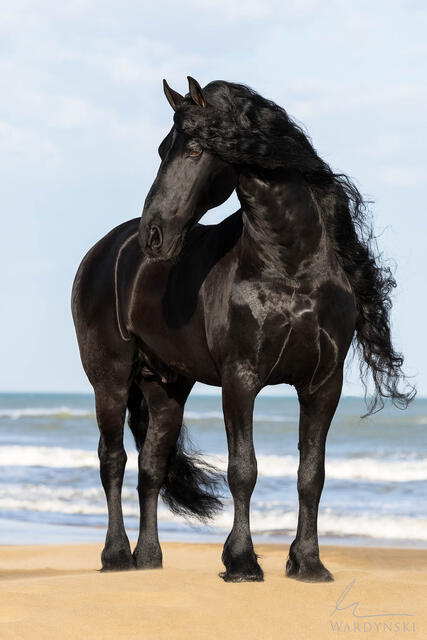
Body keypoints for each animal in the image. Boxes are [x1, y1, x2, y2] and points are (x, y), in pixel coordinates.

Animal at [71, 77, 414, 582]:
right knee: (113, 459)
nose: (155, 235)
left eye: (195, 148)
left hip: (166, 387)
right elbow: (243, 470)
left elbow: (311, 474)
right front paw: (241, 561)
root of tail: (104, 251)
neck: (290, 267)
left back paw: (148, 558)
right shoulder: (240, 379)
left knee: (151, 466)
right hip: (109, 379)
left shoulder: (323, 385)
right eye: (163, 149)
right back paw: (115, 556)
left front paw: (308, 563)